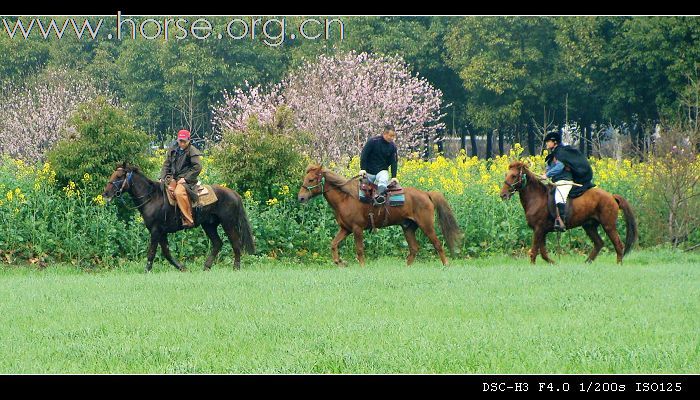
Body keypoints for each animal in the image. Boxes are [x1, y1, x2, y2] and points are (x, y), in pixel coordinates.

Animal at [102, 162, 256, 272]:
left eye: (119, 176)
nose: (105, 194)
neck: (151, 197)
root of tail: (233, 193)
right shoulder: (161, 232)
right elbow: (166, 253)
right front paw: (182, 267)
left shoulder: (156, 231)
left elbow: (152, 252)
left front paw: (146, 271)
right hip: (209, 225)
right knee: (218, 243)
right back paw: (206, 267)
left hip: (228, 223)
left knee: (235, 243)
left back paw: (236, 267)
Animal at [296, 164, 464, 268]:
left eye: (311, 179)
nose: (301, 198)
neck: (346, 197)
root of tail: (426, 194)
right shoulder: (345, 229)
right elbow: (333, 244)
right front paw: (340, 262)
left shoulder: (357, 229)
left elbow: (359, 249)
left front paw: (362, 267)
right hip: (408, 227)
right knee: (414, 248)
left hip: (427, 226)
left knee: (437, 244)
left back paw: (446, 265)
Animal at [498, 161, 640, 264]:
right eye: (506, 174)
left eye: (514, 176)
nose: (503, 195)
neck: (537, 197)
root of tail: (611, 196)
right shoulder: (541, 231)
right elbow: (543, 252)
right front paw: (554, 263)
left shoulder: (538, 229)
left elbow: (534, 251)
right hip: (589, 226)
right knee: (599, 243)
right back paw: (586, 263)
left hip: (608, 225)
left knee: (618, 245)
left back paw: (618, 264)